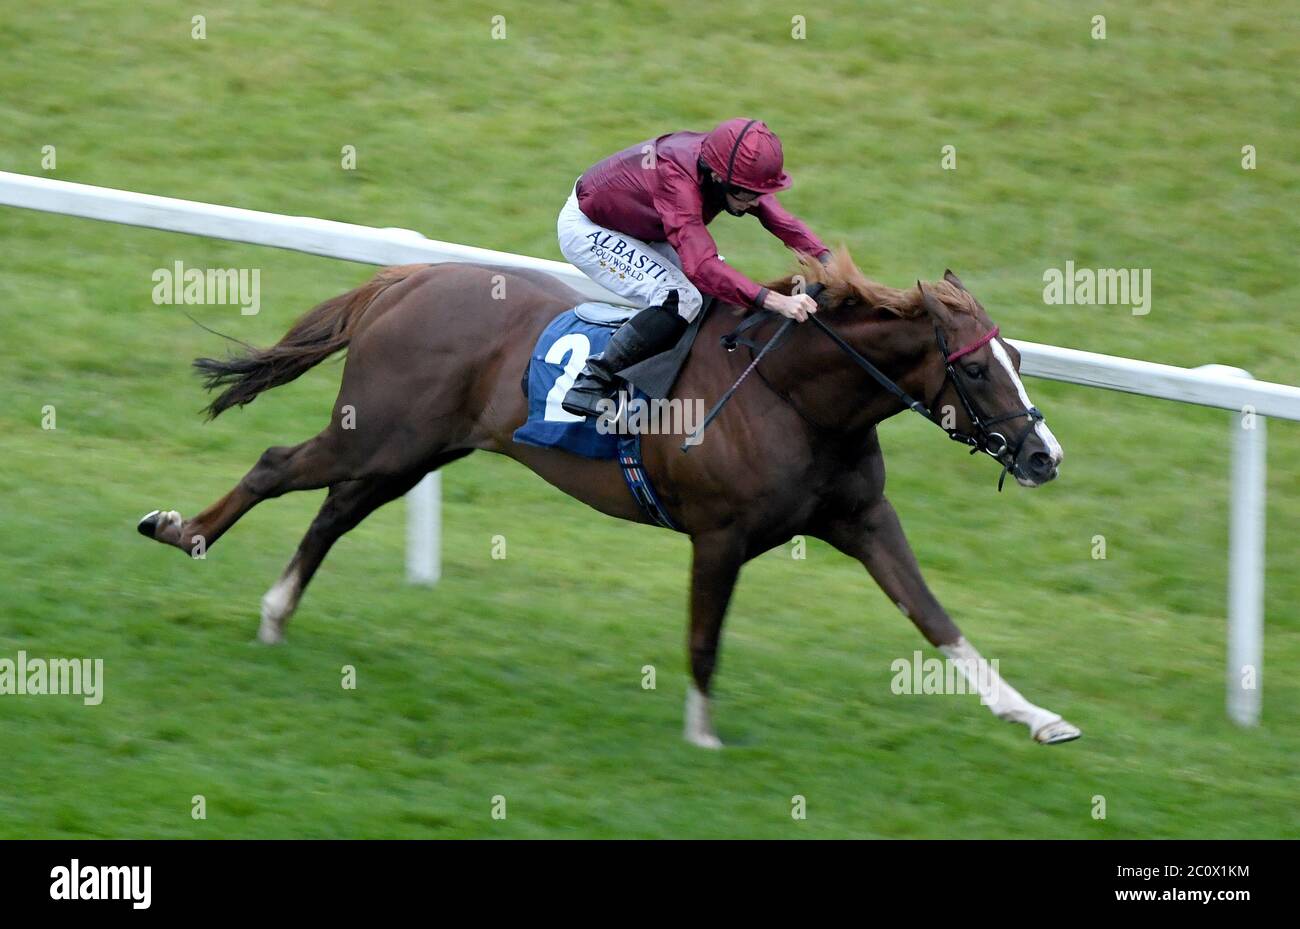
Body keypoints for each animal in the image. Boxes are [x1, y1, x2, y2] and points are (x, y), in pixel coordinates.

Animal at [137, 246, 1081, 748]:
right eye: (974, 370)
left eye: (1017, 361)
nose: (1044, 455)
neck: (794, 394)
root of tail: (407, 278)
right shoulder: (720, 534)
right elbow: (704, 637)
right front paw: (702, 734)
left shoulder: (860, 518)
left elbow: (935, 617)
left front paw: (1037, 716)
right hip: (375, 434)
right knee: (274, 465)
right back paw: (181, 529)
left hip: (408, 453)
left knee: (332, 512)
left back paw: (274, 610)